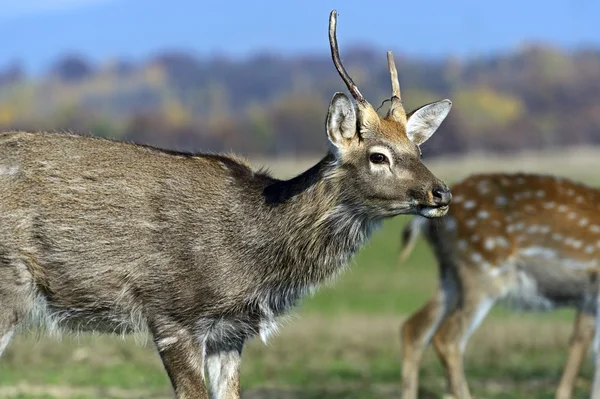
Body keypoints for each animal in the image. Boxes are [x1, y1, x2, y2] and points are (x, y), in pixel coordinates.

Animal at [0, 9, 452, 399]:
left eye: (418, 150)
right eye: (378, 156)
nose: (441, 193)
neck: (253, 258)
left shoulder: (231, 331)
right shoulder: (172, 313)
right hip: (9, 285)